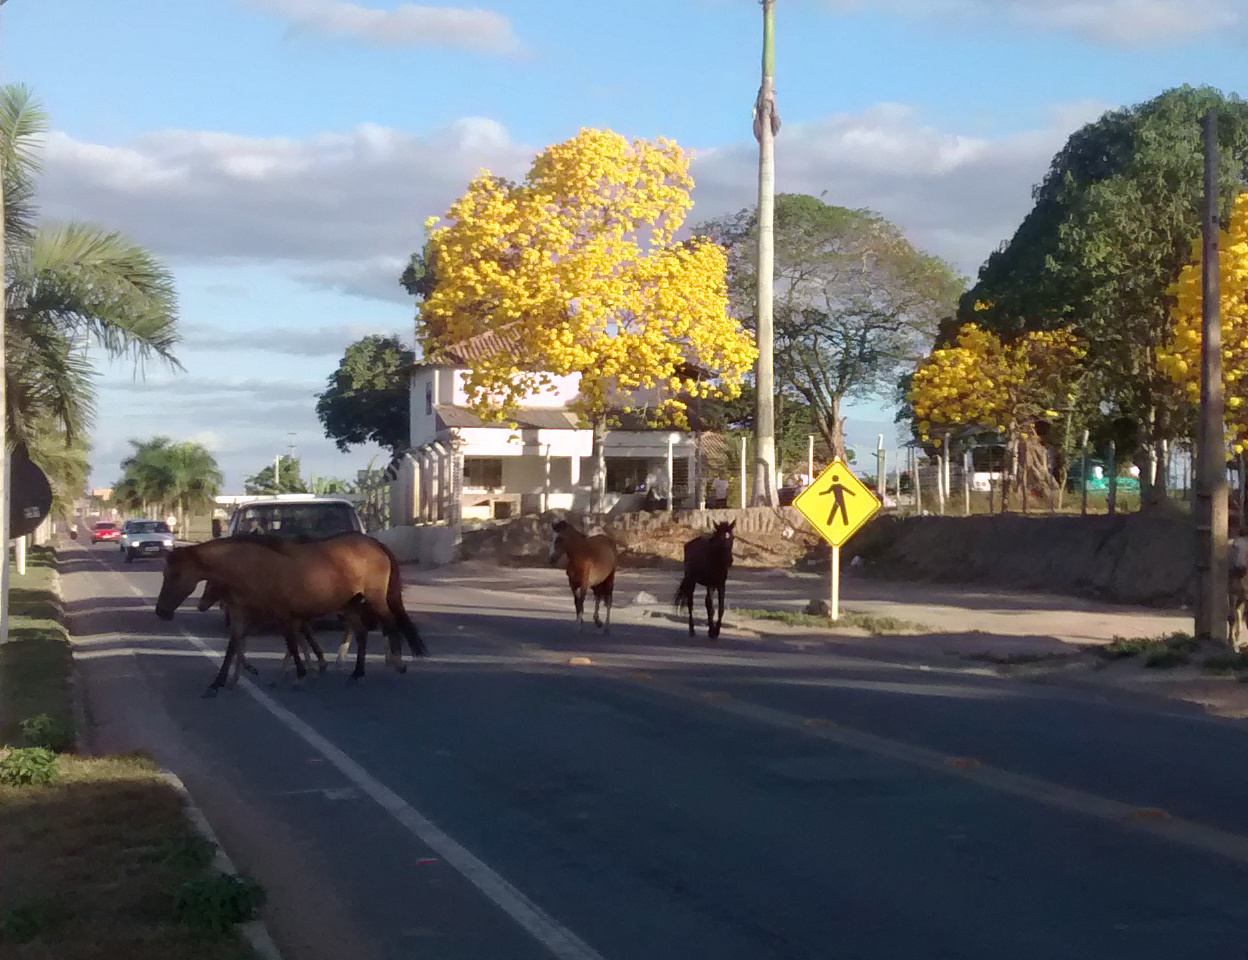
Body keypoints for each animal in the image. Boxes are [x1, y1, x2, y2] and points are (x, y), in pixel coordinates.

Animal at [156, 529, 426, 694]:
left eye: (176, 574)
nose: (161, 611)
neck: (251, 566)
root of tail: (375, 544)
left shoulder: (282, 614)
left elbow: (292, 644)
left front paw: (301, 674)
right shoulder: (246, 613)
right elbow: (235, 645)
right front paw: (218, 683)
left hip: (374, 598)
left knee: (389, 622)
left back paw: (396, 662)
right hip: (350, 603)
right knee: (362, 632)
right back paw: (357, 673)